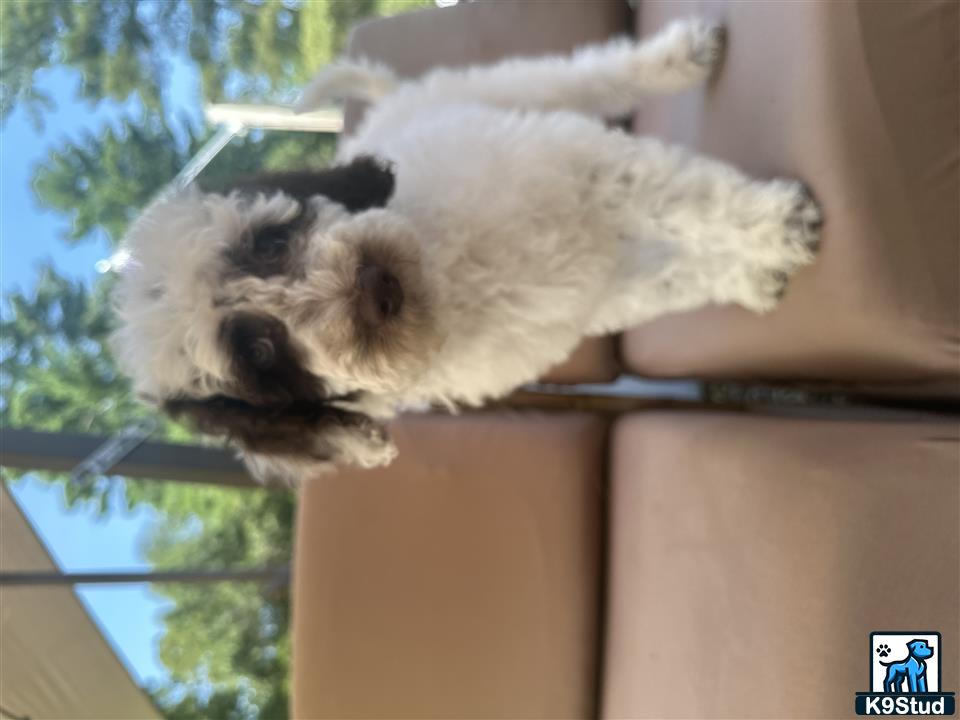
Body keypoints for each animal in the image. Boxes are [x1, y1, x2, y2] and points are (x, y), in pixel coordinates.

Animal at [110, 16, 816, 480]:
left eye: (270, 241)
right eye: (260, 354)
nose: (369, 286)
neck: (439, 278)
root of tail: (388, 110)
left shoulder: (587, 167)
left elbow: (699, 199)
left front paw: (776, 224)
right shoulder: (603, 286)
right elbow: (678, 274)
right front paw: (753, 274)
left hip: (503, 97)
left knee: (587, 75)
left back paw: (683, 55)